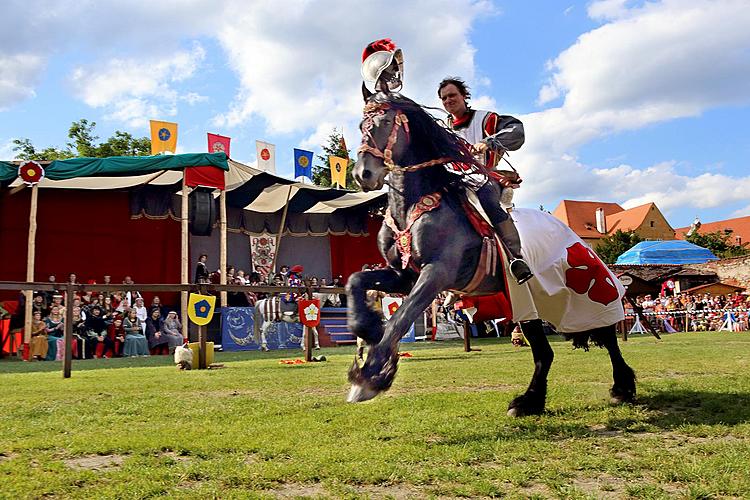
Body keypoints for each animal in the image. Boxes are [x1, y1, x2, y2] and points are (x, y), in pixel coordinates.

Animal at [346, 89, 636, 414]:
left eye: (385, 122)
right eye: (361, 125)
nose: (363, 174)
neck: (413, 206)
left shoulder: (436, 274)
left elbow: (401, 317)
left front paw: (371, 375)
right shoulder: (404, 275)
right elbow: (355, 281)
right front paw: (367, 329)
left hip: (585, 296)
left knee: (608, 336)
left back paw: (622, 388)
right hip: (527, 304)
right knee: (544, 353)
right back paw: (528, 401)